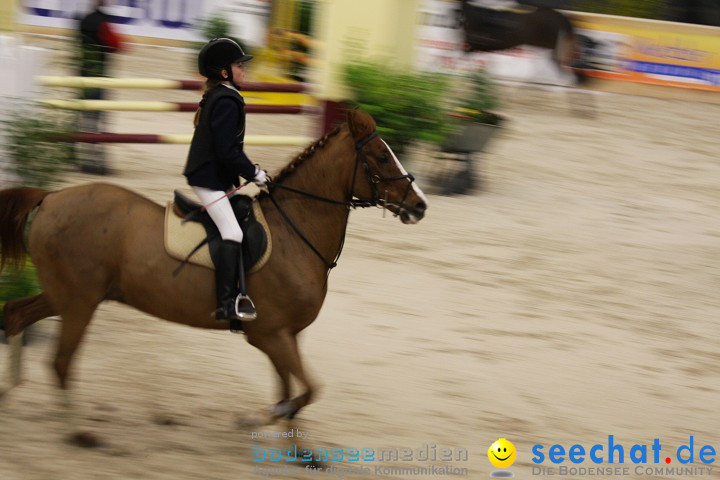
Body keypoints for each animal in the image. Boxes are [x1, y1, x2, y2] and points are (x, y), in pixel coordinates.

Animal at [0, 109, 428, 446]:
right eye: (381, 157)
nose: (420, 206)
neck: (295, 232)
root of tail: (50, 198)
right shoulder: (270, 334)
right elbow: (305, 391)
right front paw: (254, 418)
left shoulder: (286, 336)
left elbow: (293, 390)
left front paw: (301, 451)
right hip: (79, 302)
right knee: (59, 361)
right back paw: (77, 432)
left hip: (69, 295)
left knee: (16, 313)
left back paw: (10, 392)